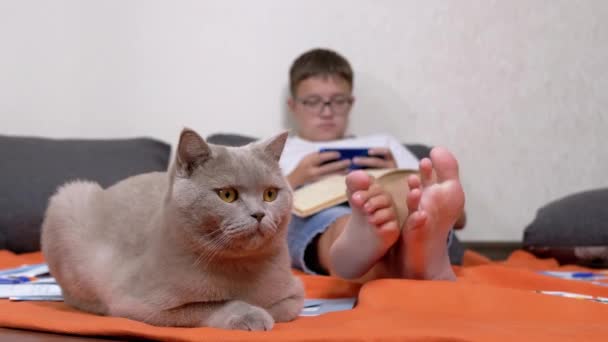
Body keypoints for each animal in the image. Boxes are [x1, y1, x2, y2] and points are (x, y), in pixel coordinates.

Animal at [40, 127, 304, 330]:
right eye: (227, 195)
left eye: (270, 194)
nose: (259, 214)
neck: (240, 269)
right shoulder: (143, 305)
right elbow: (211, 305)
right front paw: (251, 315)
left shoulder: (295, 295)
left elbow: (281, 308)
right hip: (69, 197)